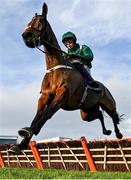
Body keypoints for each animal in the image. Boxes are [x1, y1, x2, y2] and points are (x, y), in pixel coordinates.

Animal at [8, 2, 122, 155]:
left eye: (41, 21)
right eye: (29, 21)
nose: (26, 36)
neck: (55, 67)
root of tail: (104, 88)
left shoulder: (63, 94)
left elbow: (47, 113)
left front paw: (31, 132)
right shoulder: (45, 95)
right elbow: (37, 115)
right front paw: (21, 143)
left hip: (108, 104)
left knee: (114, 116)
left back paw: (118, 133)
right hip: (86, 112)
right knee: (99, 114)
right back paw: (106, 131)